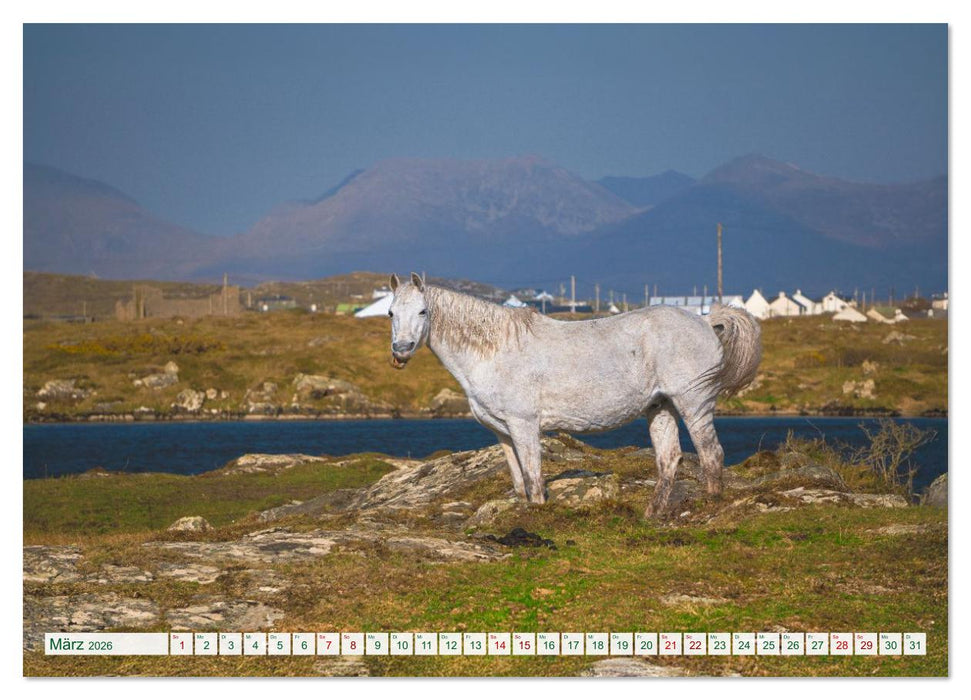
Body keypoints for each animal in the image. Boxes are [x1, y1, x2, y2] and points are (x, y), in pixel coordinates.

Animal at [387, 272, 761, 518]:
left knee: (710, 453)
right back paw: (651, 515)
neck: (494, 351)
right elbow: (518, 479)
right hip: (661, 406)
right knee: (669, 459)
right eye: (391, 312)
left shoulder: (524, 425)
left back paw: (709, 507)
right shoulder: (502, 431)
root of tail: (707, 321)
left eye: (423, 311)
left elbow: (534, 477)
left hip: (693, 401)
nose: (401, 350)